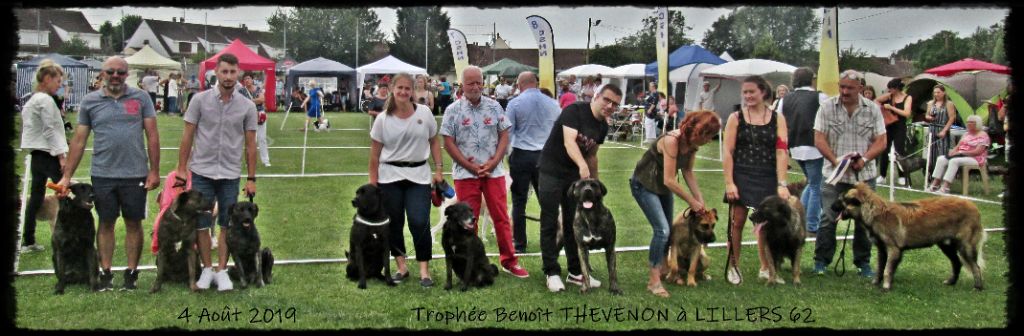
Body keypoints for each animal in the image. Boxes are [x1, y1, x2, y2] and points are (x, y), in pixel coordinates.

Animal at [835, 181, 987, 290]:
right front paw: (876, 282)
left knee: (976, 267)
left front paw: (886, 286)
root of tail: (974, 207)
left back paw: (978, 287)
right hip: (946, 246)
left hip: (965, 247)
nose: (831, 207)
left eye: (841, 201)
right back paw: (951, 282)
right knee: (957, 263)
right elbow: (880, 269)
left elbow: (887, 270)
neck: (876, 212)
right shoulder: (882, 250)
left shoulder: (894, 249)